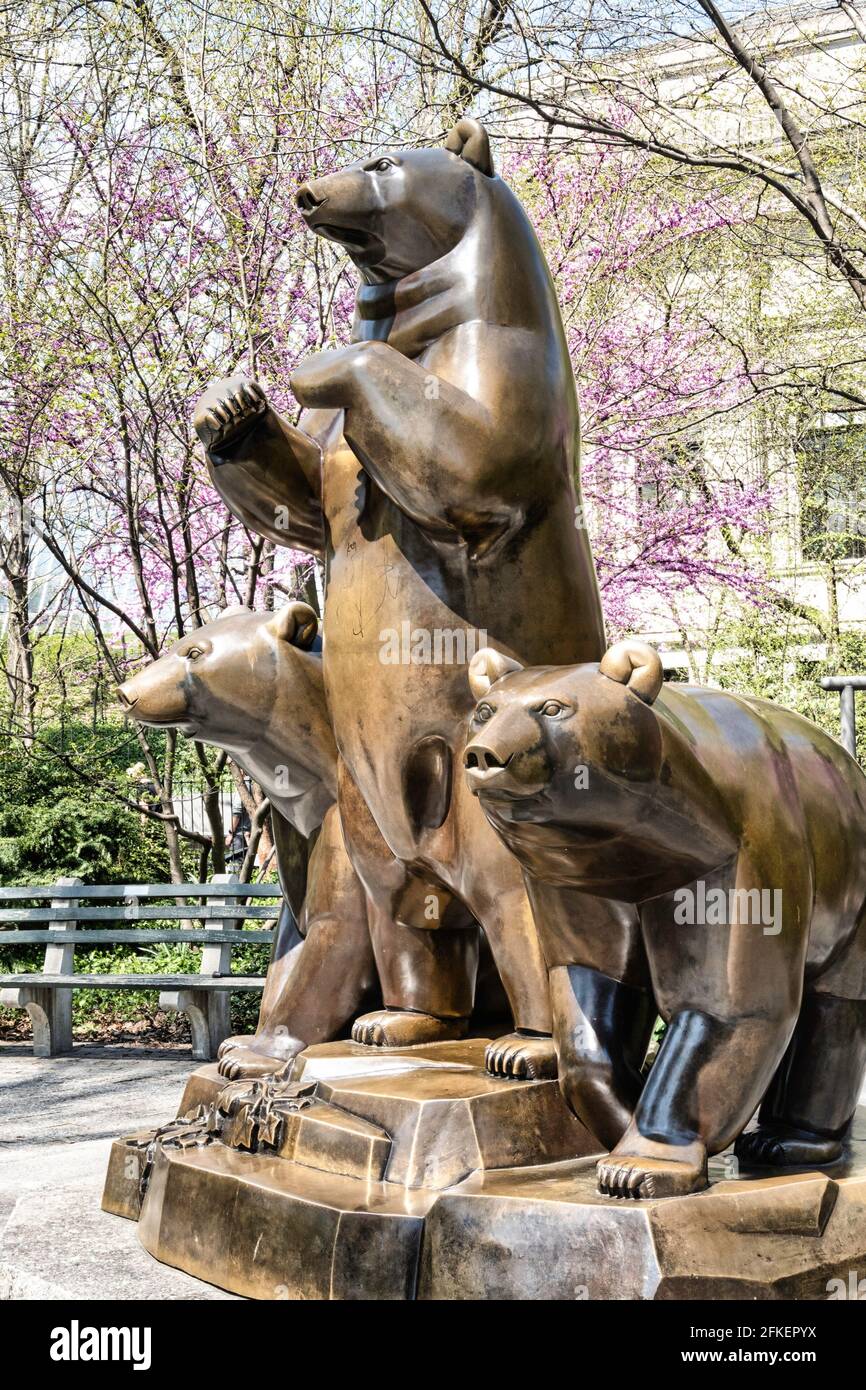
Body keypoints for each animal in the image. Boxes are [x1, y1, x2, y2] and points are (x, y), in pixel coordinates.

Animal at [191, 119, 606, 1073]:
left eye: (384, 162)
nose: (308, 191)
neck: (423, 320)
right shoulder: (340, 460)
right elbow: (308, 496)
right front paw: (229, 403)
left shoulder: (503, 367)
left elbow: (471, 453)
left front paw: (320, 360)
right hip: (365, 784)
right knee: (399, 894)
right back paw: (402, 1023)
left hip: (489, 752)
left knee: (514, 888)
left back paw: (529, 1045)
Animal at [464, 639, 866, 1195]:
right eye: (485, 710)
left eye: (552, 708)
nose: (483, 755)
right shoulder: (576, 881)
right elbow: (590, 986)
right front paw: (620, 1106)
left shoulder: (742, 853)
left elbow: (729, 1004)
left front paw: (639, 1164)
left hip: (850, 893)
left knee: (836, 1009)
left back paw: (788, 1139)